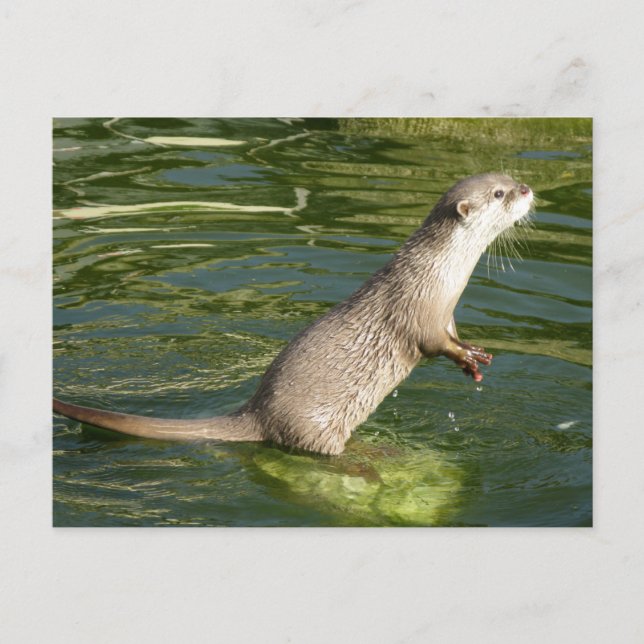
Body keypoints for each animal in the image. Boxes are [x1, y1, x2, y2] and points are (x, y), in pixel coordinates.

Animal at [53, 173, 534, 455]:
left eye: (510, 178)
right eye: (499, 194)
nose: (528, 190)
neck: (441, 273)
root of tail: (256, 414)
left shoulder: (446, 314)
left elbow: (453, 336)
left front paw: (473, 356)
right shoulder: (419, 312)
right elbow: (433, 344)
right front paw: (467, 357)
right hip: (312, 427)